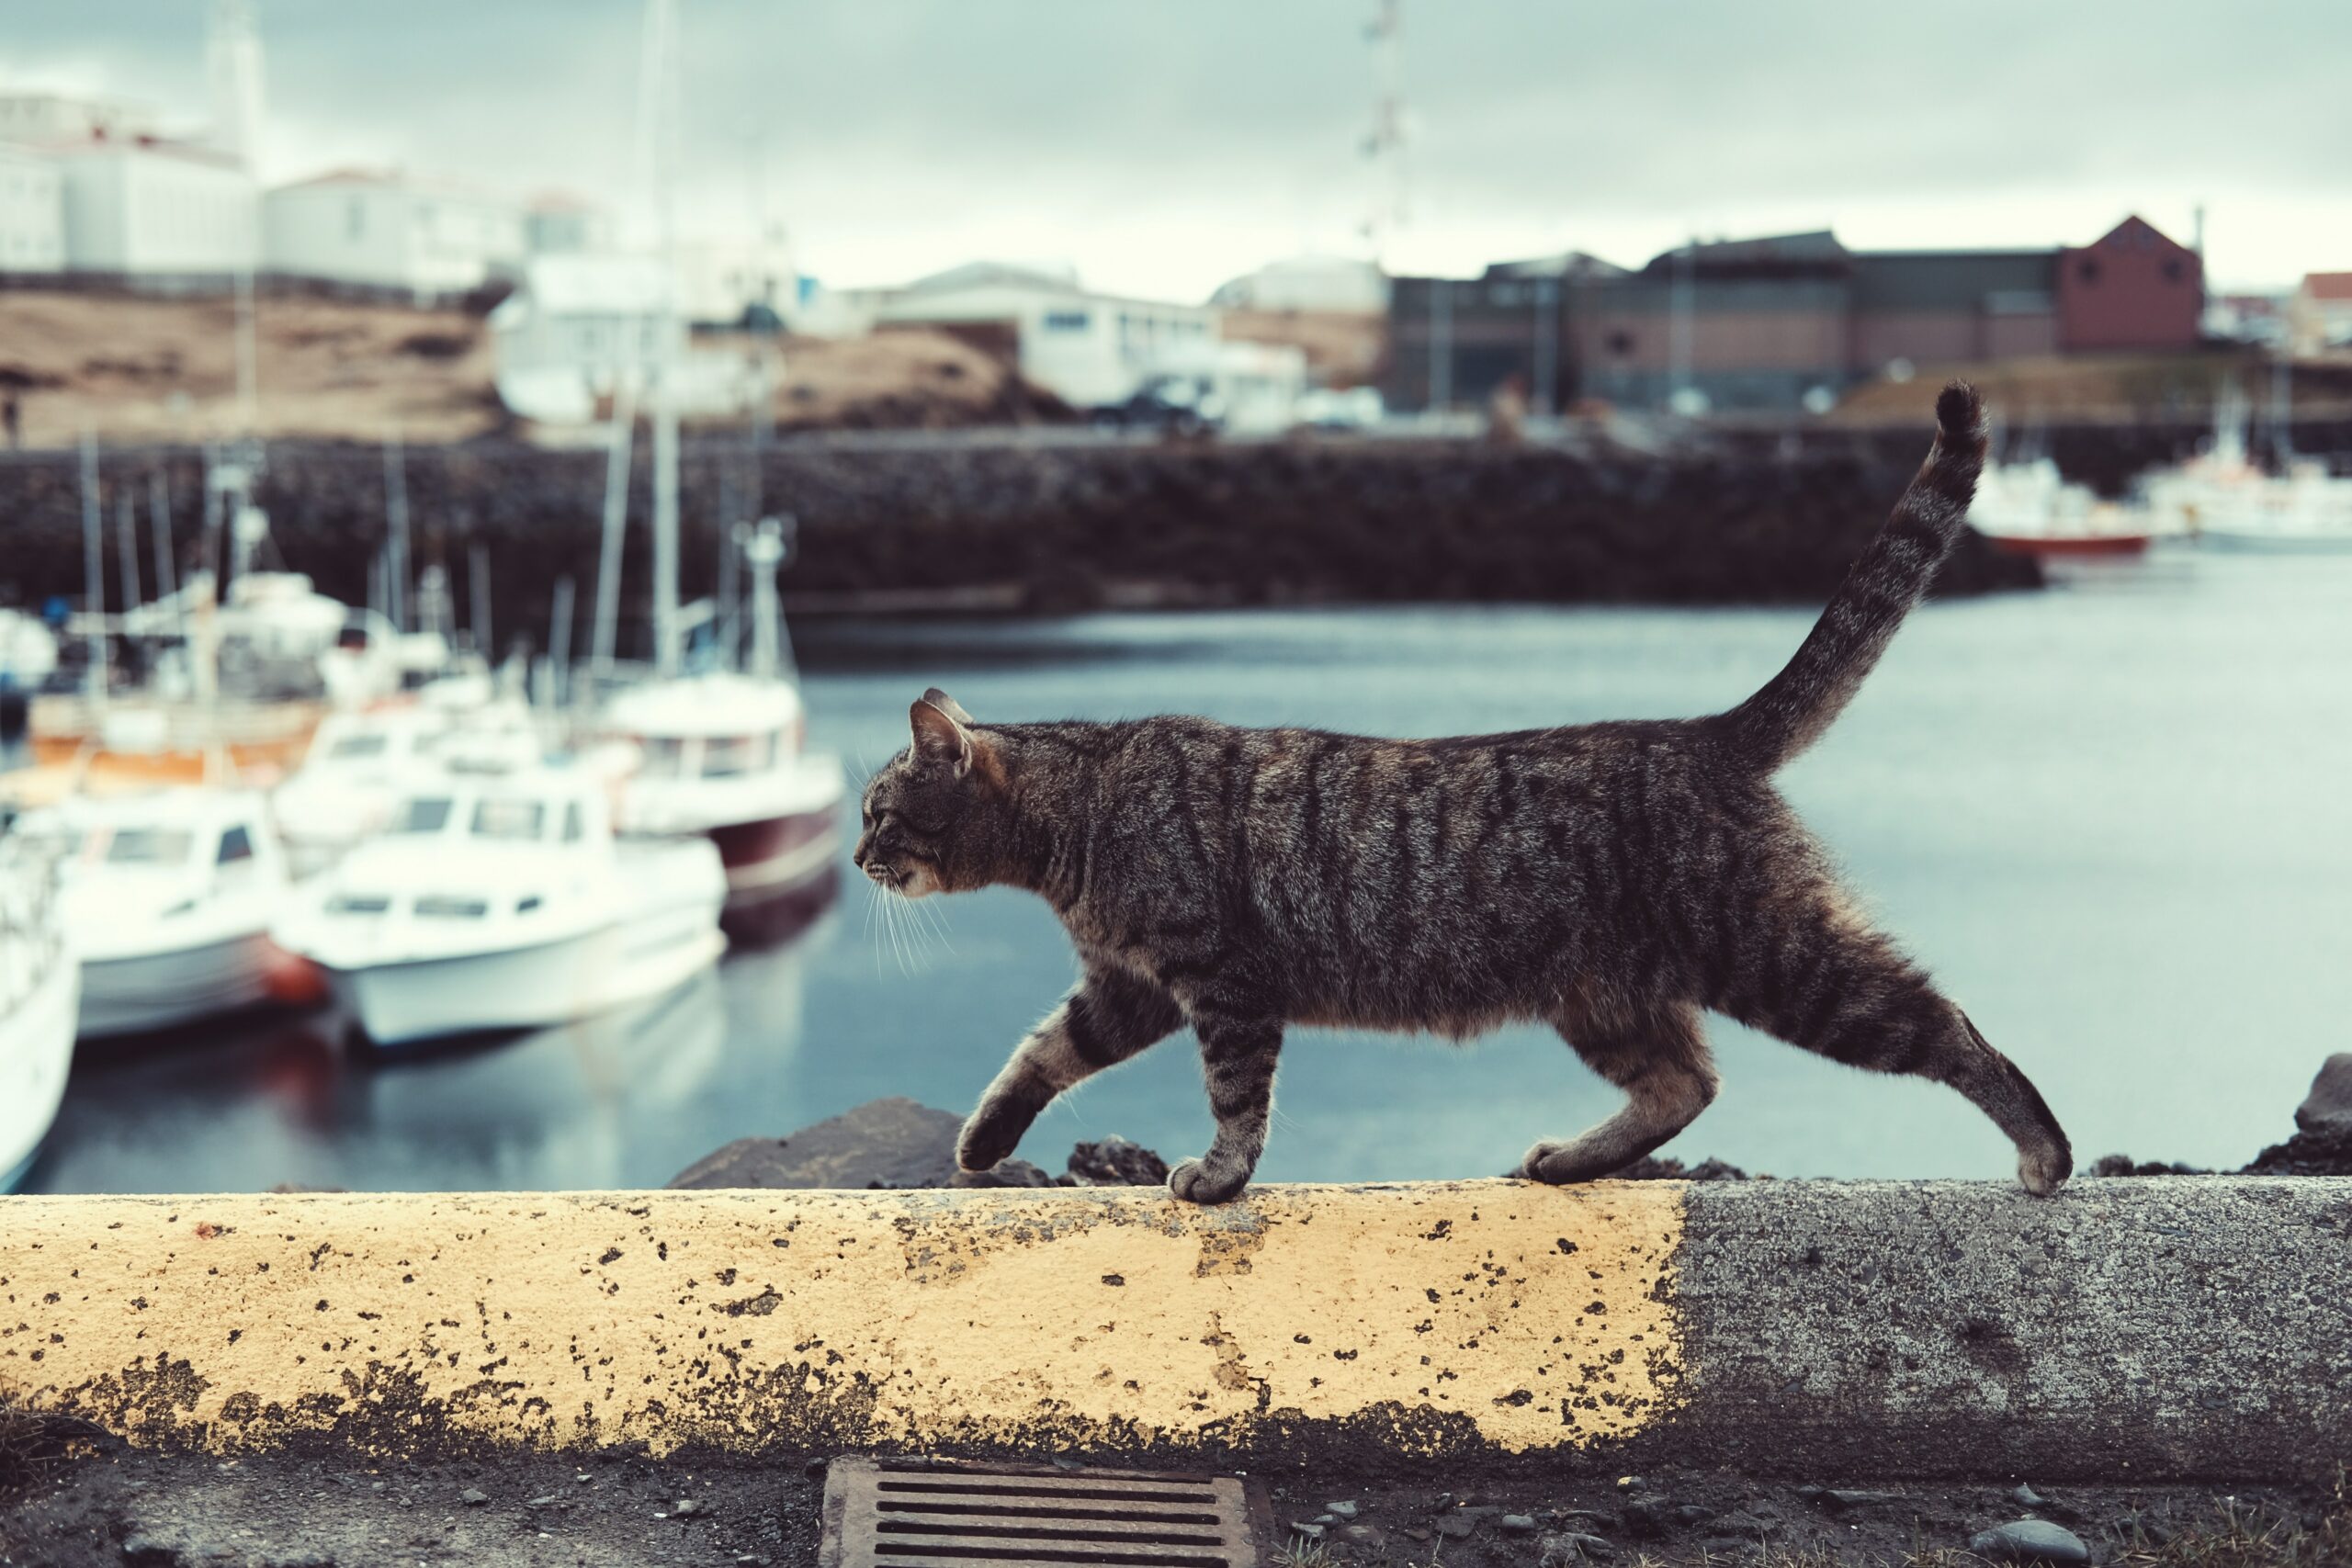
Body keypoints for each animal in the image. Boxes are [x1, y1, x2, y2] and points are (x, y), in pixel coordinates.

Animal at [855, 385, 2069, 1213]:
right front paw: (982, 1143)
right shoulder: (1128, 990)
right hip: (1607, 997)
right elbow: (1037, 1056)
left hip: (1779, 958)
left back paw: (2043, 1151)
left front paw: (1219, 1176)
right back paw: (1572, 1159)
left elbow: (1236, 1099)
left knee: (1940, 1025)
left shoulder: (1221, 982)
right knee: (1684, 1086)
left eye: (876, 812)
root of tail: (1702, 732)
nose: (858, 859)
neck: (1080, 812)